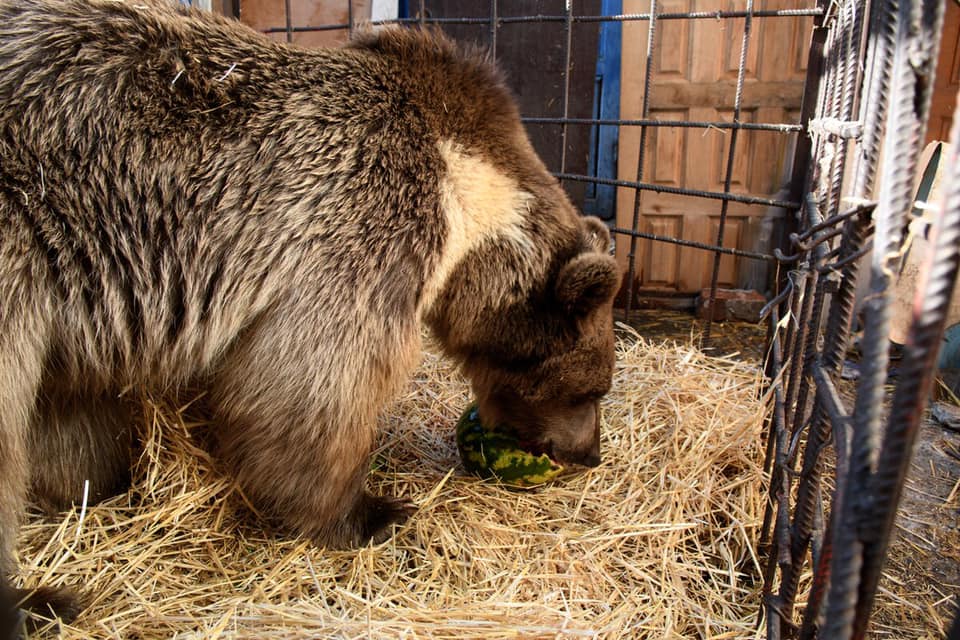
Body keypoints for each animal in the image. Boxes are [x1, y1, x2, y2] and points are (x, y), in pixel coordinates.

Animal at [0, 0, 620, 620]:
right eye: (590, 388)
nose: (590, 453)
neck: (467, 203)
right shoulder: (360, 230)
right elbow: (309, 391)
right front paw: (370, 513)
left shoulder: (82, 303)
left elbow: (69, 414)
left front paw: (91, 484)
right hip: (19, 229)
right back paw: (39, 598)